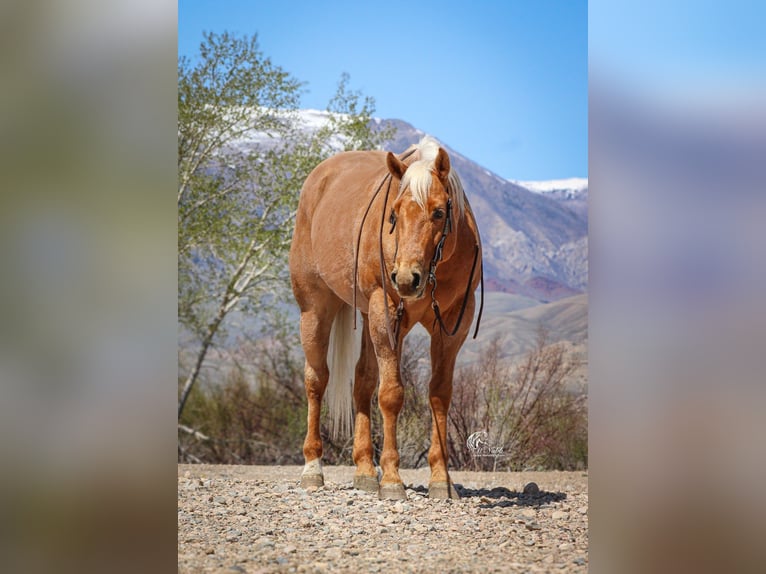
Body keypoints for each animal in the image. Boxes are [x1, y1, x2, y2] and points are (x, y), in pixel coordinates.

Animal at [288, 136, 483, 500]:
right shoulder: (387, 311)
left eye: (439, 212)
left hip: (368, 317)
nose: (406, 279)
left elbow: (439, 394)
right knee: (316, 381)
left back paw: (365, 471)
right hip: (316, 309)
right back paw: (312, 469)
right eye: (394, 213)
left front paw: (441, 479)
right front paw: (392, 479)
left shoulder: (452, 325)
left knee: (362, 382)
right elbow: (391, 394)